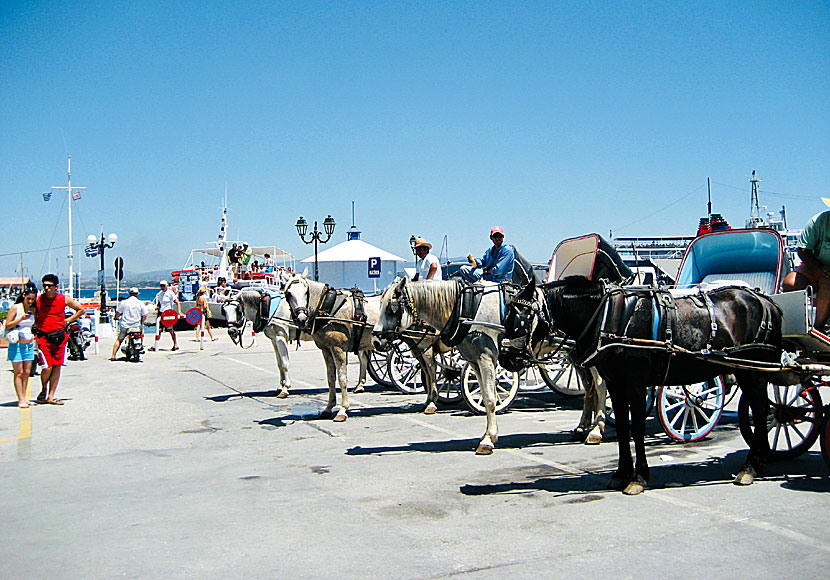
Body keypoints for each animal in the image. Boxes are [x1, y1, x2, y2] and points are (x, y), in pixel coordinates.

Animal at [500, 276, 788, 494]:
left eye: (522, 316)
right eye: (508, 314)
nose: (506, 358)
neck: (608, 315)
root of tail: (767, 301)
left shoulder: (635, 384)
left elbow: (637, 427)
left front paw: (638, 477)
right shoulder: (616, 384)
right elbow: (623, 428)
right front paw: (621, 473)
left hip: (753, 371)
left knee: (760, 410)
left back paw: (750, 466)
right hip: (750, 371)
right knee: (761, 410)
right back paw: (761, 459)